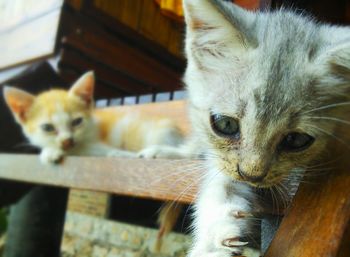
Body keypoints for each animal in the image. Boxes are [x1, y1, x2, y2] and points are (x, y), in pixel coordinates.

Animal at [3, 71, 183, 163]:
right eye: (48, 128)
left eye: (77, 122)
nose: (67, 141)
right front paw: (50, 150)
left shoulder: (96, 146)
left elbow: (85, 150)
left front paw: (49, 152)